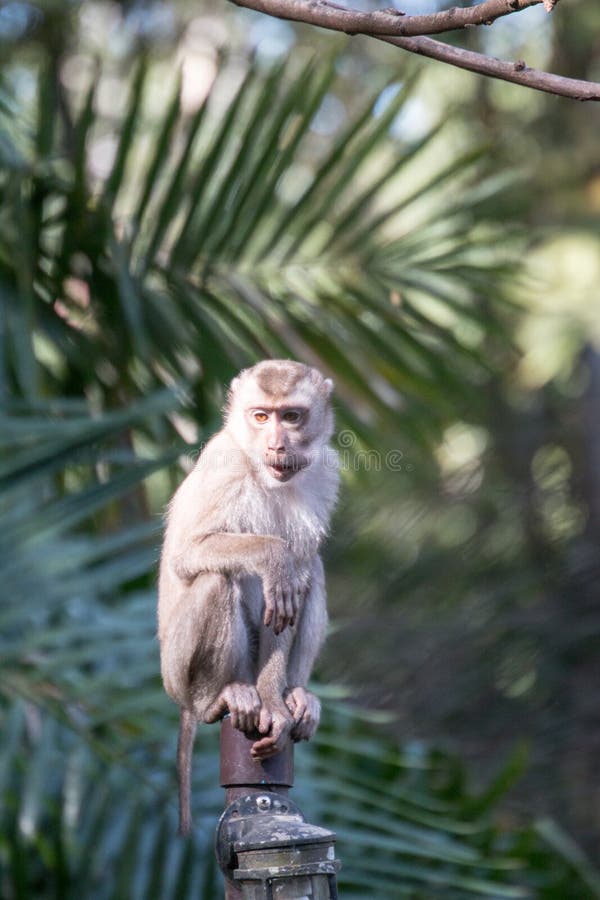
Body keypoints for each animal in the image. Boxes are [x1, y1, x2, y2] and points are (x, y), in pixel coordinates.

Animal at [157, 358, 340, 836]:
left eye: (290, 416)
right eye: (261, 416)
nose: (276, 443)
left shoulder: (323, 471)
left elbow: (297, 579)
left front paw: (276, 702)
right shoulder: (225, 468)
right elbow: (187, 553)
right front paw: (272, 555)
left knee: (313, 572)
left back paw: (295, 695)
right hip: (176, 672)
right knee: (216, 580)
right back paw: (219, 700)